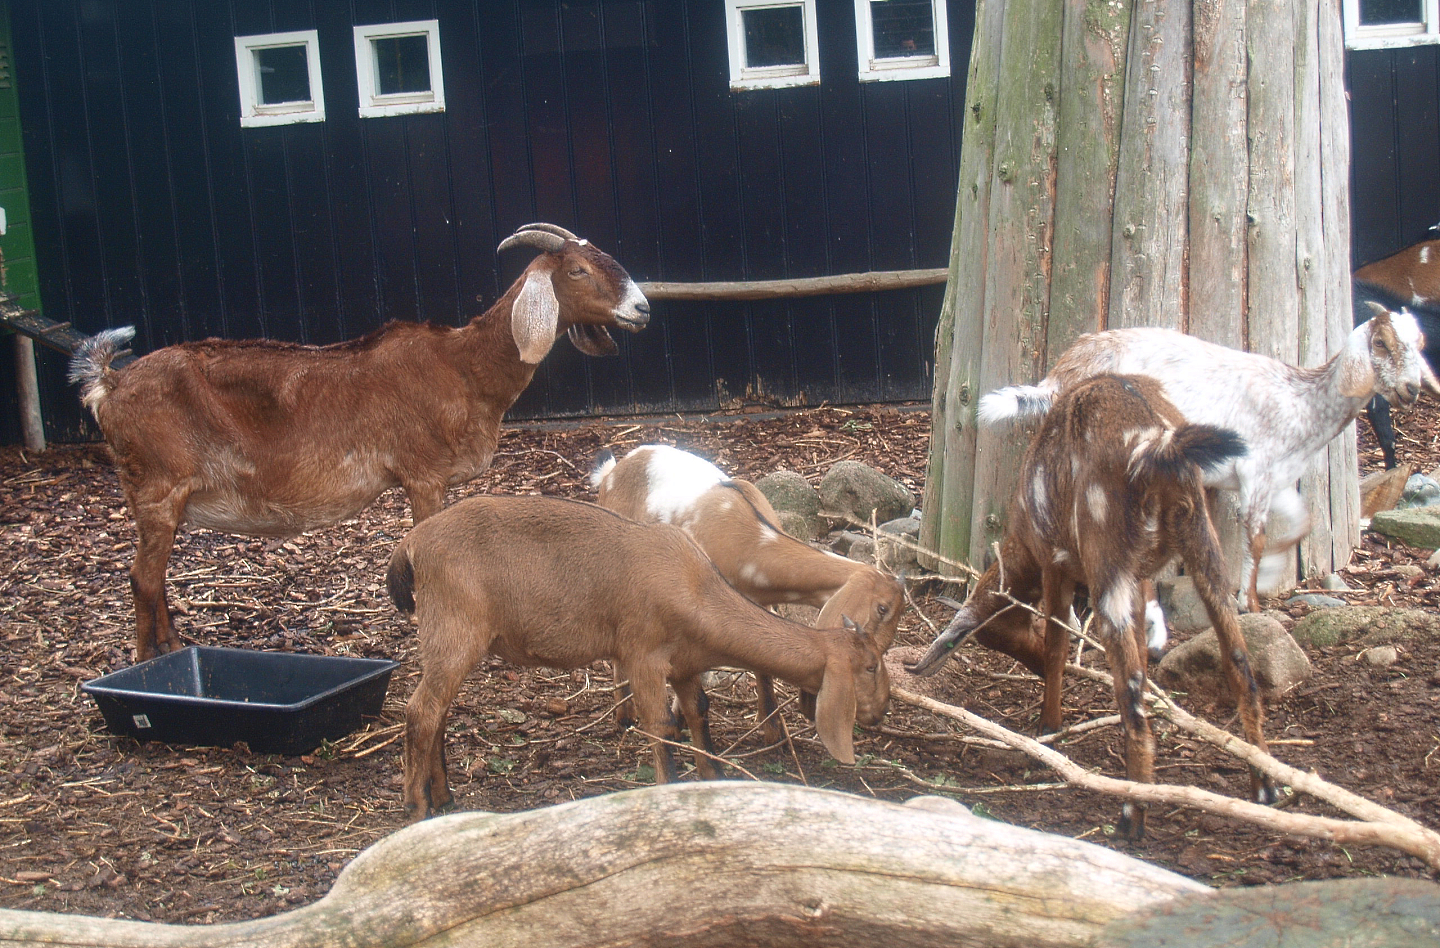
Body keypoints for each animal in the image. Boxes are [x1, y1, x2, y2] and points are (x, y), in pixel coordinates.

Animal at [69, 223, 650, 661]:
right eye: (577, 270)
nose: (642, 308)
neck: (463, 365)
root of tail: (110, 384)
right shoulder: (424, 474)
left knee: (154, 575)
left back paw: (172, 647)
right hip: (158, 486)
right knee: (141, 578)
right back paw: (151, 662)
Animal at [386, 495, 893, 820]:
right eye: (869, 666)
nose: (882, 711)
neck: (695, 587)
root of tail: (410, 544)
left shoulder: (685, 665)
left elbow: (698, 713)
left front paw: (712, 775)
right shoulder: (643, 656)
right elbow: (661, 726)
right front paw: (669, 791)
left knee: (438, 713)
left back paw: (443, 796)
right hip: (456, 628)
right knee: (420, 710)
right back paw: (415, 806)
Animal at [591, 444, 905, 742]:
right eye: (881, 609)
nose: (880, 711)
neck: (751, 541)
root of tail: (611, 473)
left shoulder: (762, 603)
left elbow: (762, 666)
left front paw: (774, 733)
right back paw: (624, 717)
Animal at [913, 374, 1274, 838]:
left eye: (1009, 636)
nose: (1028, 666)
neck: (1021, 538)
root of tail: (1158, 445)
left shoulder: (1055, 561)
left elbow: (1056, 641)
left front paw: (1048, 727)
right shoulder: (1139, 577)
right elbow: (1140, 647)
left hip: (1106, 555)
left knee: (1131, 686)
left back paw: (1131, 816)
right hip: (1199, 539)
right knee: (1238, 659)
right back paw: (1264, 788)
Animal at [978, 306, 1438, 612]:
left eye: (1419, 345)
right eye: (1380, 343)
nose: (1413, 389)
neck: (1301, 402)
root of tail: (1067, 367)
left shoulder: (1278, 478)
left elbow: (1298, 526)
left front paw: (1269, 578)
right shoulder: (1254, 471)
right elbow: (1256, 536)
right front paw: (1249, 602)